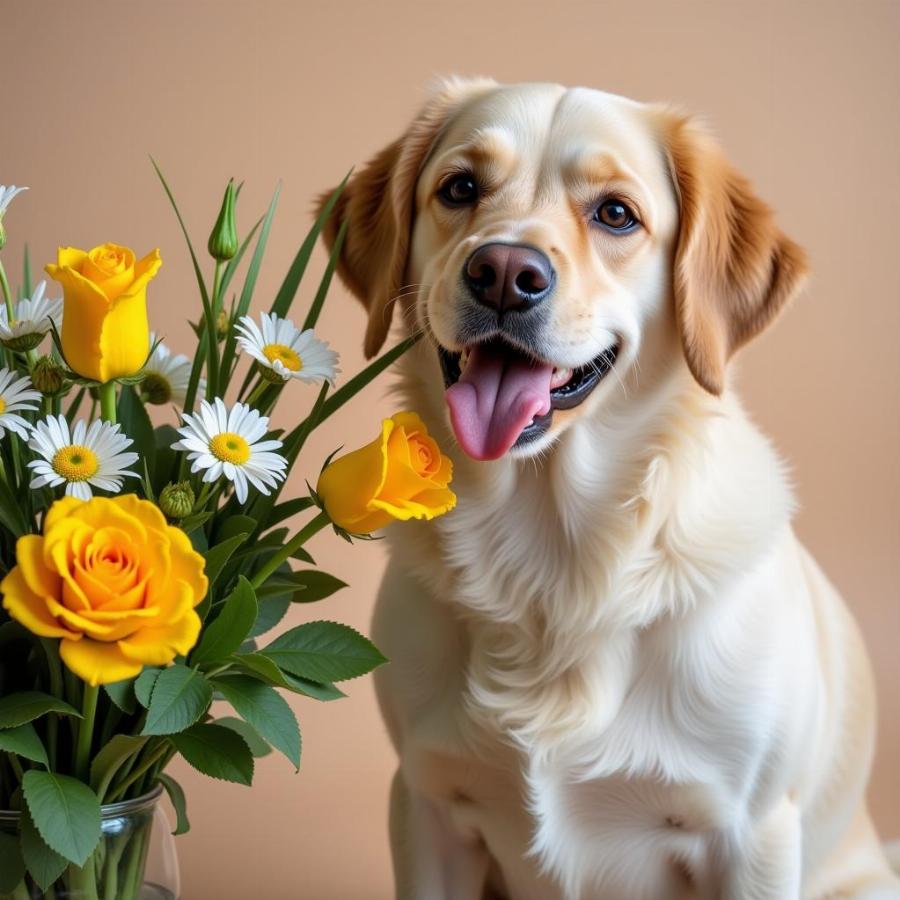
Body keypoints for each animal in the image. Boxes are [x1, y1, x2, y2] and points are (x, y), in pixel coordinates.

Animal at [320, 79, 896, 900]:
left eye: (616, 213)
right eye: (459, 188)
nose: (504, 272)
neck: (552, 556)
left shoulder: (751, 834)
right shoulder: (429, 803)